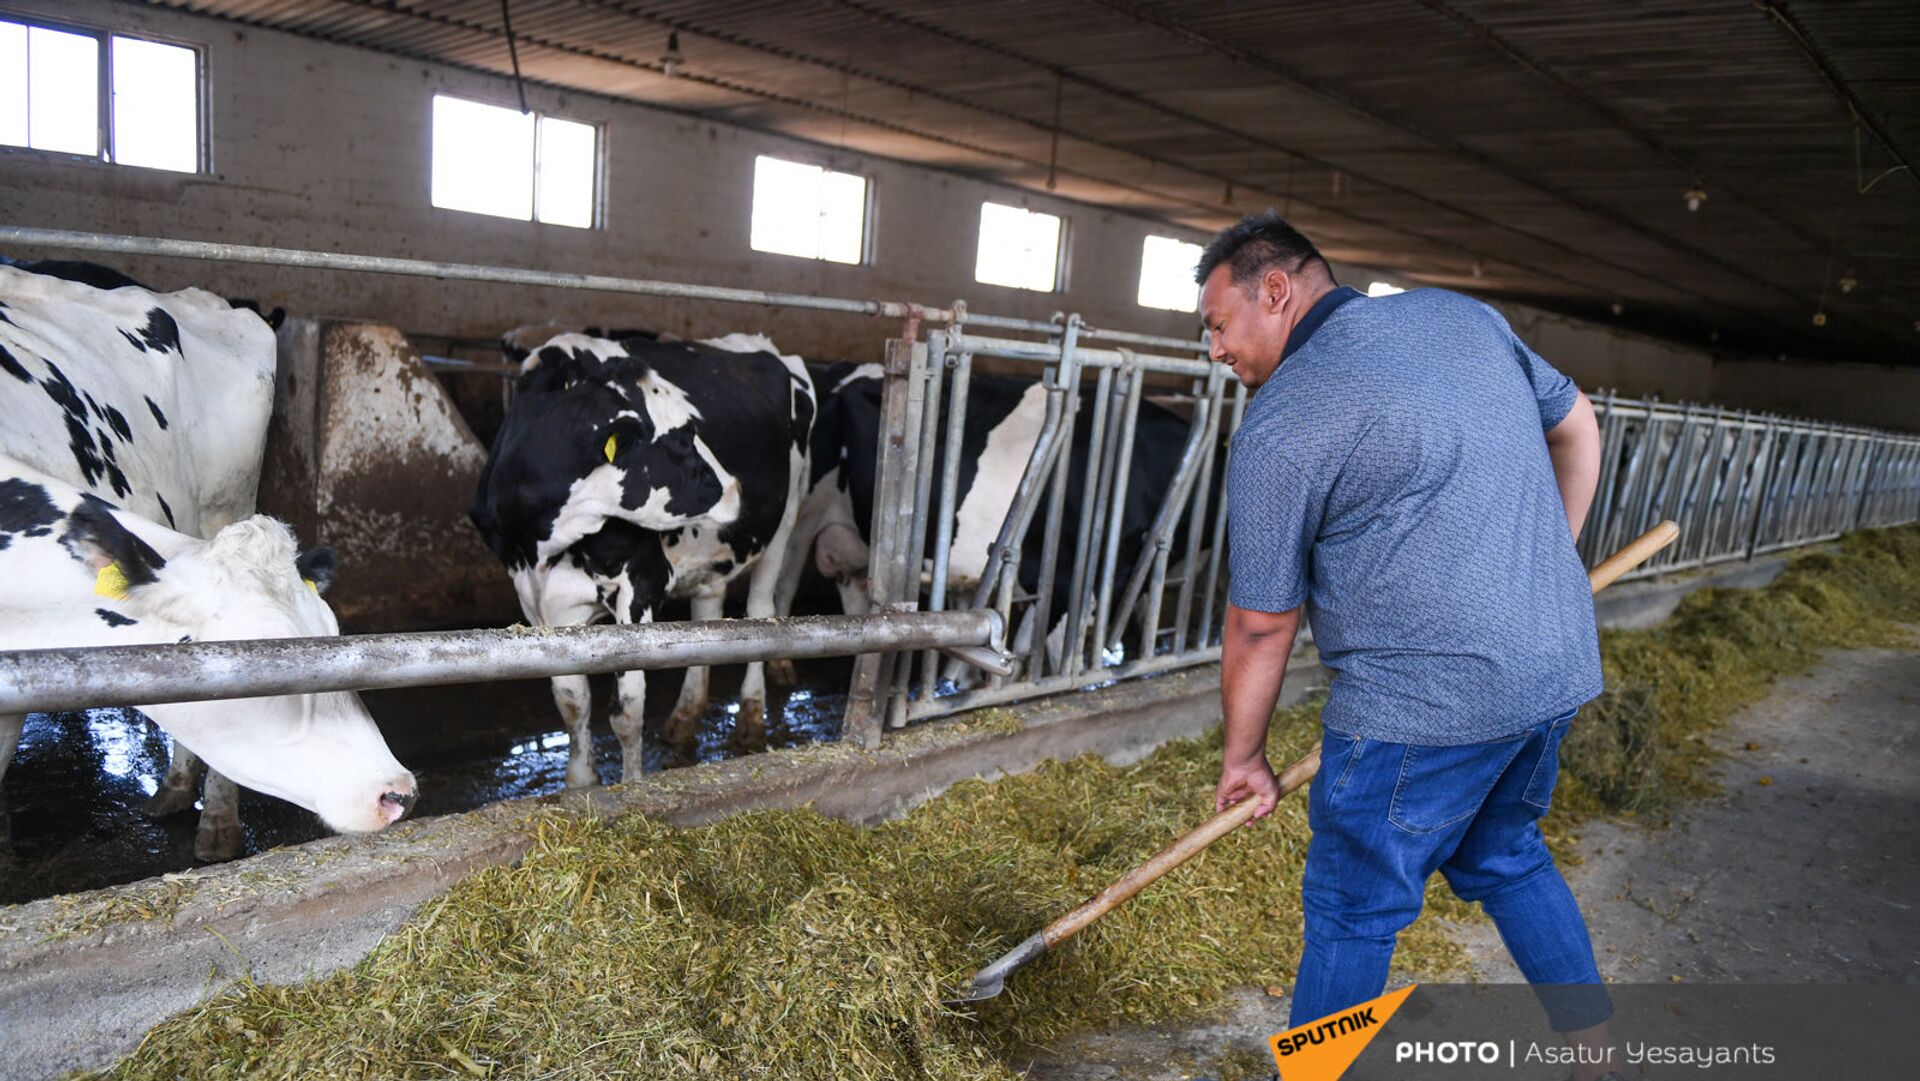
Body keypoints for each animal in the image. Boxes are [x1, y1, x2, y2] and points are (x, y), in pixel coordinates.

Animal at [476, 330, 821, 787]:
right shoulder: (533, 598)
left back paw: (750, 719)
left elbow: (627, 709)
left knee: (761, 612)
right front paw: (580, 783)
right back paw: (684, 719)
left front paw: (631, 784)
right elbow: (570, 699)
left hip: (784, 522)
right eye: (681, 436)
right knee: (707, 612)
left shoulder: (639, 582)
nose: (736, 489)